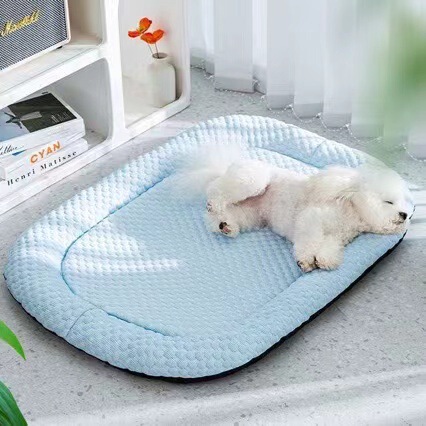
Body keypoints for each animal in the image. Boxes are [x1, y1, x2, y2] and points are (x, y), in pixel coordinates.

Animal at [176, 146, 411, 272]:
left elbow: (329, 249)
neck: (351, 211)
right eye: (389, 202)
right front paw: (305, 261)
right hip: (252, 181)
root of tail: (225, 168)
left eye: (402, 203)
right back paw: (213, 203)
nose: (405, 214)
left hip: (251, 213)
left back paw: (225, 225)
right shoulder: (312, 220)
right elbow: (309, 241)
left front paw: (324, 260)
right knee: (216, 189)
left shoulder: (336, 238)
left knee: (223, 215)